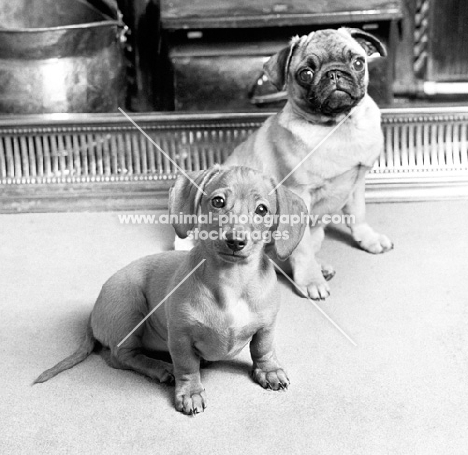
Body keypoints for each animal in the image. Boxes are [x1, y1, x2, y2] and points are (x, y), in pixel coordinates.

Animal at [225, 27, 394, 300]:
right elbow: (301, 248)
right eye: (306, 74)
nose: (334, 73)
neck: (338, 126)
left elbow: (358, 216)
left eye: (358, 62)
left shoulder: (357, 184)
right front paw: (310, 280)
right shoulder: (299, 198)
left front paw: (368, 239)